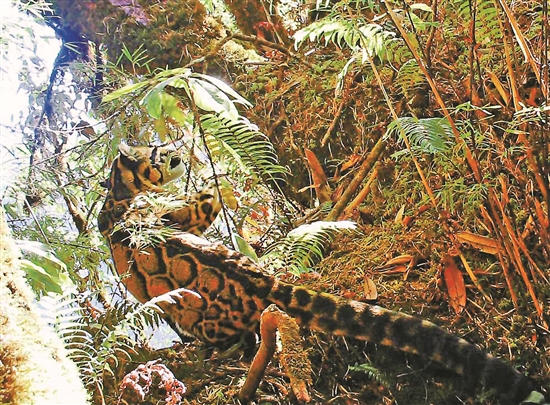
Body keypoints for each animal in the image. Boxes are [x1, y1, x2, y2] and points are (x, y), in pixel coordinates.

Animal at [98, 143, 543, 404]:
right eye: (157, 152)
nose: (176, 150)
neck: (120, 197)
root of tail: (261, 281)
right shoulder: (182, 215)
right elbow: (205, 200)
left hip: (203, 316)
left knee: (234, 338)